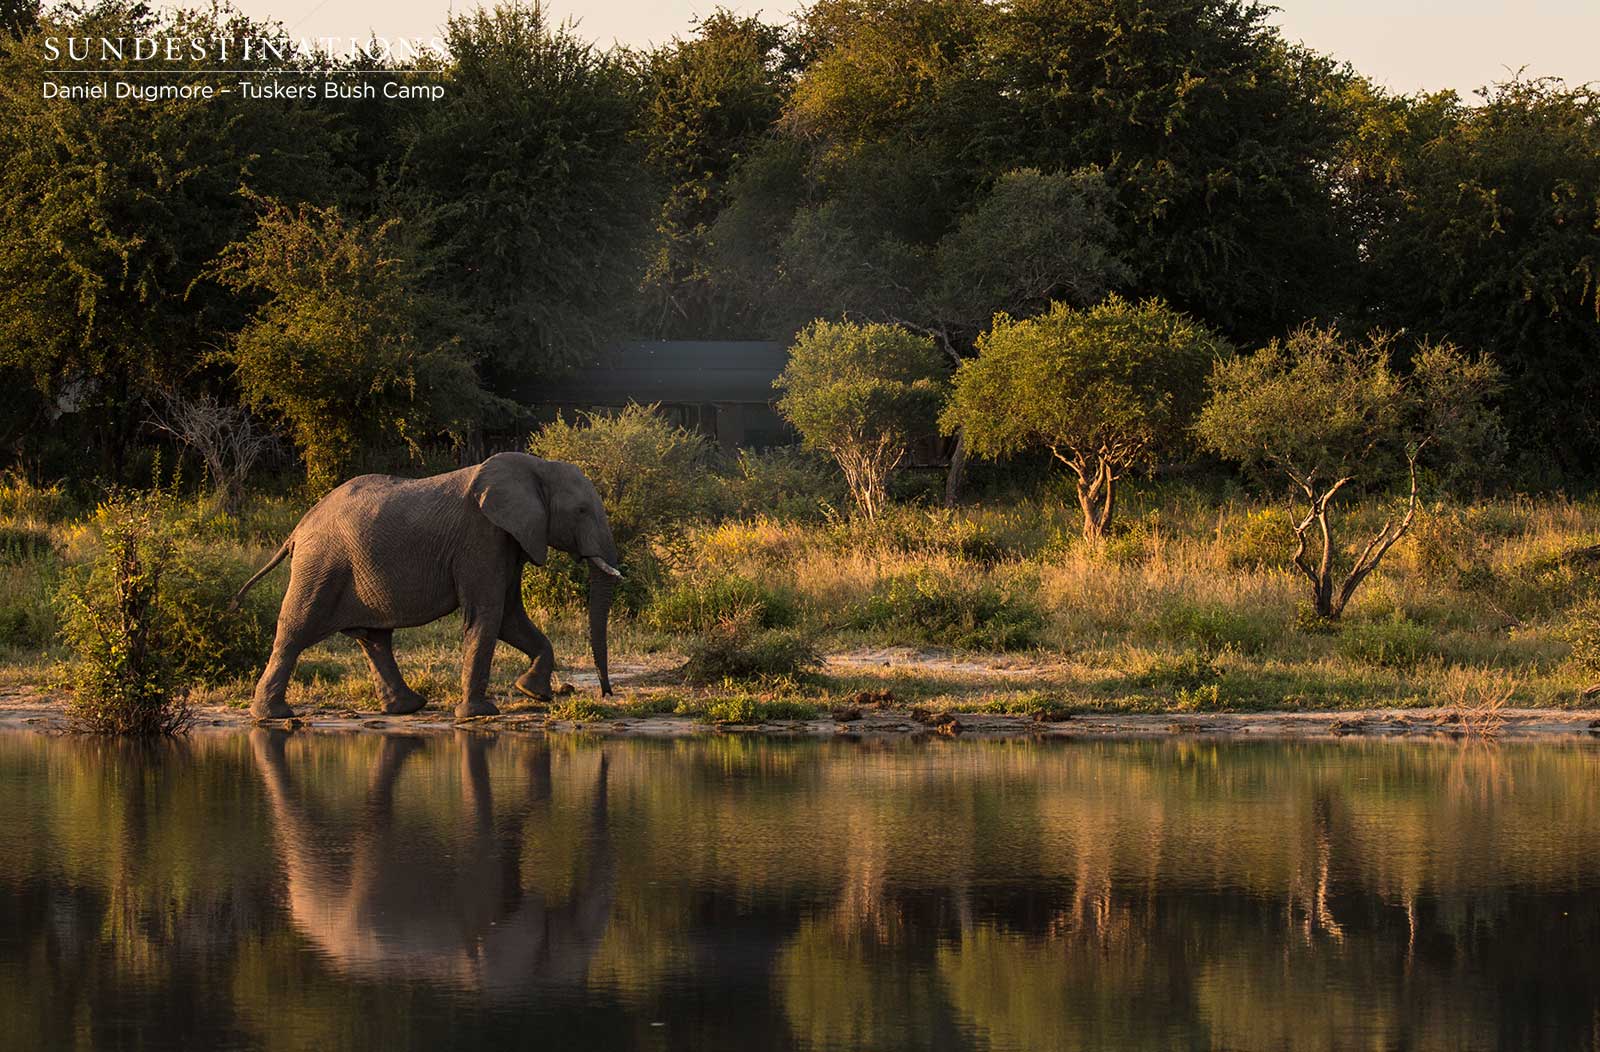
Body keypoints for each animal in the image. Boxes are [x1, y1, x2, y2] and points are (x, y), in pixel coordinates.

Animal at [232, 452, 623, 720]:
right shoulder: (481, 537)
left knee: (374, 639)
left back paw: (407, 707)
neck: (537, 467)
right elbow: (488, 613)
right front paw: (480, 713)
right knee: (296, 630)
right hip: (322, 565)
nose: (607, 693)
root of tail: (298, 528)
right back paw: (273, 715)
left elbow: (510, 616)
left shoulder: (510, 540)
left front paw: (532, 692)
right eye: (582, 511)